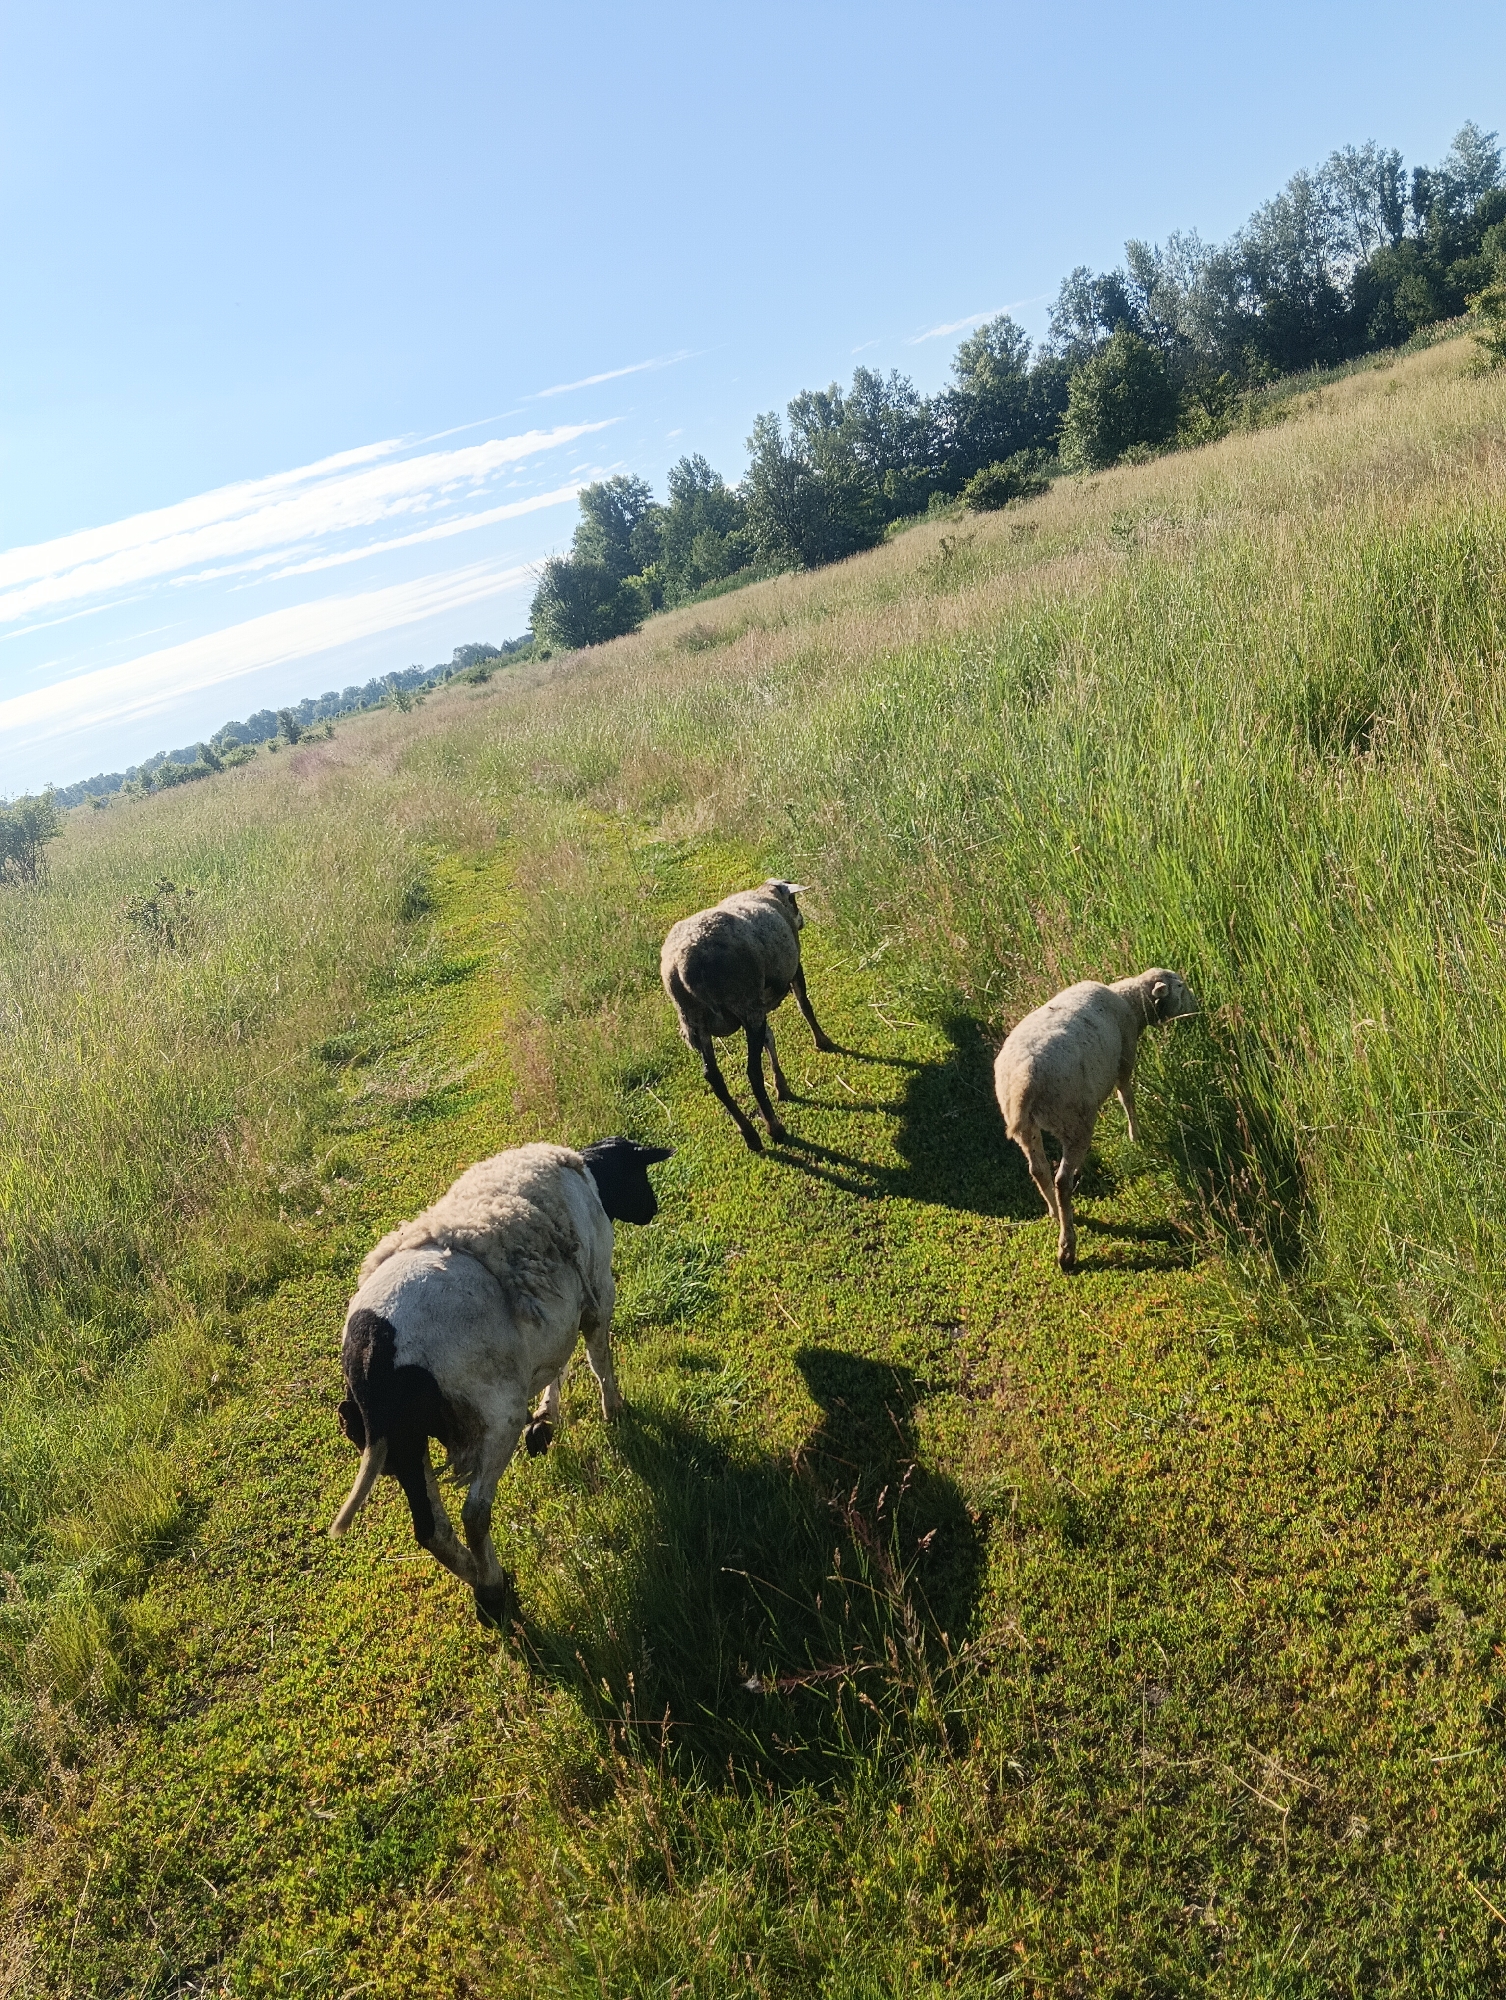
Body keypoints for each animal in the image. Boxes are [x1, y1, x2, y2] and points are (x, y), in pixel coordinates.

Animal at [329, 1136, 671, 1625]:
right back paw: (492, 1587)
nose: (652, 1209)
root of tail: (372, 1345)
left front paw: (547, 1418)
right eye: (639, 1172)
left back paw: (487, 1588)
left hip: (402, 1439)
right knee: (474, 1512)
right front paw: (614, 1411)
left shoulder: (553, 1317)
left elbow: (555, 1363)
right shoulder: (596, 1292)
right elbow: (597, 1359)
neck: (589, 1175)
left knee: (431, 1529)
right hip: (494, 1413)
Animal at [660, 879, 836, 1149]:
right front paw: (822, 1041)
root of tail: (683, 967)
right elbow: (804, 1005)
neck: (767, 894)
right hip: (744, 1003)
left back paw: (749, 1133)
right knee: (752, 1071)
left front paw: (782, 1086)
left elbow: (769, 1038)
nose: (802, 921)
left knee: (713, 1078)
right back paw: (774, 1128)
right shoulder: (791, 971)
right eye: (794, 901)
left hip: (695, 1022)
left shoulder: (759, 1002)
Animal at [994, 969, 1197, 1272]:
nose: (1197, 1007)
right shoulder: (1125, 1057)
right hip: (1073, 1119)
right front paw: (1136, 1136)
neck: (1131, 1002)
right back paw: (1067, 1248)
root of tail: (1024, 1081)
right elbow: (1127, 1098)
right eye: (1180, 986)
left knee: (1038, 1170)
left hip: (1027, 1126)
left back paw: (1054, 1212)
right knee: (1062, 1180)